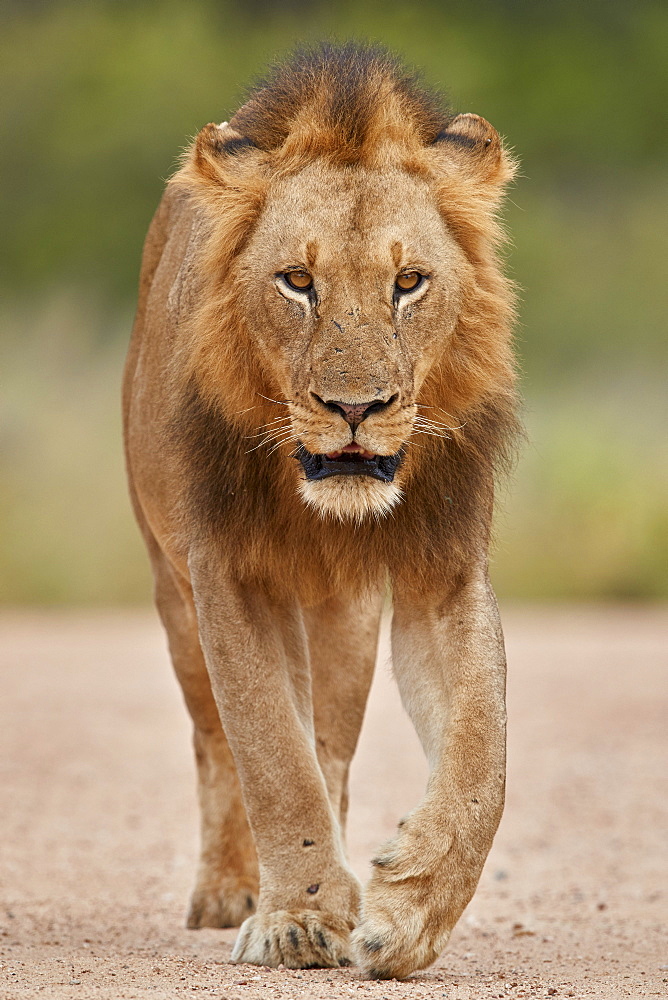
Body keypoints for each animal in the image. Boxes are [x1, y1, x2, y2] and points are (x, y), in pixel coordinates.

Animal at [122, 43, 520, 980]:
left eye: (409, 282)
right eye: (297, 282)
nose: (355, 408)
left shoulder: (442, 573)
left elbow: (481, 759)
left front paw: (408, 911)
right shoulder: (224, 573)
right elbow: (271, 753)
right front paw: (298, 920)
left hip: (346, 617)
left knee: (332, 749)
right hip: (173, 595)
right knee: (218, 743)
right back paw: (233, 890)